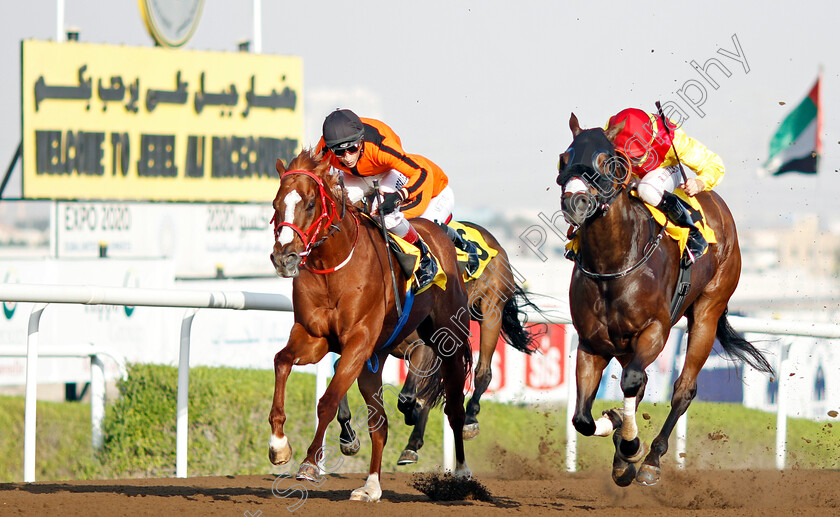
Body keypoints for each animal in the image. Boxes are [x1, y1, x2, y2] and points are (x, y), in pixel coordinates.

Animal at [268, 148, 472, 500]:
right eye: (275, 204)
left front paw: (309, 464)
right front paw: (279, 445)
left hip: (448, 343)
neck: (334, 266)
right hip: (373, 362)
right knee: (381, 424)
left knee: (455, 410)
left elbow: (328, 401)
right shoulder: (314, 336)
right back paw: (371, 486)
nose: (284, 258)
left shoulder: (358, 341)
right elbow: (282, 361)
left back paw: (460, 474)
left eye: (310, 204)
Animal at [334, 225, 544, 464]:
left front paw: (412, 415)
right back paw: (413, 443)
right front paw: (348, 437)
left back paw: (469, 419)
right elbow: (341, 370)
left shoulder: (424, 347)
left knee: (483, 371)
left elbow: (408, 397)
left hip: (492, 309)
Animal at [556, 114, 772, 488]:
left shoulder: (655, 330)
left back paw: (651, 461)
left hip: (708, 310)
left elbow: (631, 380)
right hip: (625, 344)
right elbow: (583, 418)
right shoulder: (592, 343)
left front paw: (631, 447)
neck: (614, 264)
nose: (575, 204)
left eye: (608, 161)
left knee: (683, 389)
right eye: (565, 158)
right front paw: (617, 429)